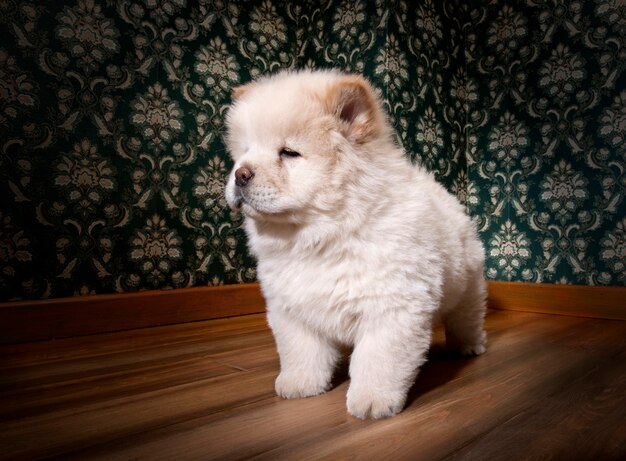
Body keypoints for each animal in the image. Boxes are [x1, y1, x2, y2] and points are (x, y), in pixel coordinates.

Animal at [222, 70, 486, 418]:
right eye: (245, 151)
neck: (317, 237)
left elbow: (377, 359)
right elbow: (300, 351)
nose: (241, 173)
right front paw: (299, 384)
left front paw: (372, 402)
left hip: (468, 287)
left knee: (466, 318)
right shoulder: (292, 309)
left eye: (289, 153)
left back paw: (469, 346)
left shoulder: (391, 307)